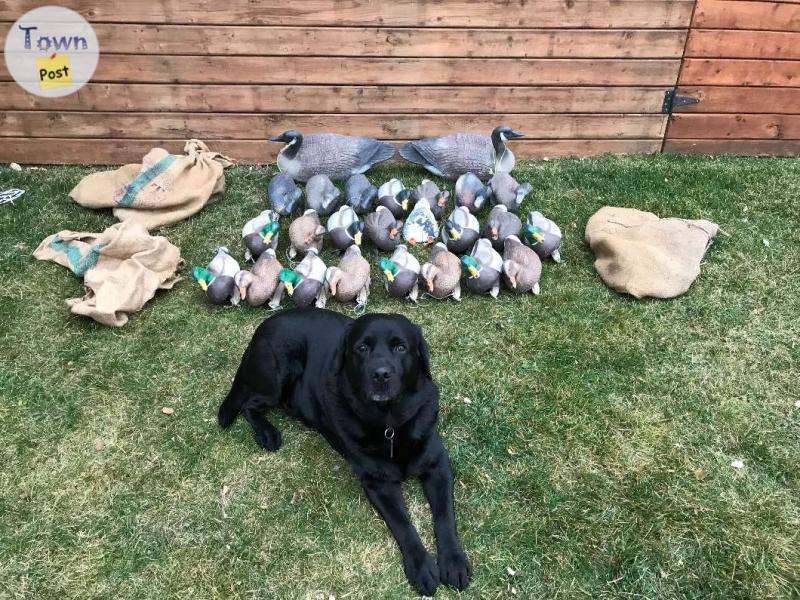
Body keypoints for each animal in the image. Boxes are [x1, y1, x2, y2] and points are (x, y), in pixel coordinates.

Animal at [216, 310, 472, 596]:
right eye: (362, 348)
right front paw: (421, 566)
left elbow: (445, 516)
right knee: (249, 404)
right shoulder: (378, 483)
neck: (390, 424)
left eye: (400, 347)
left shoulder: (438, 465)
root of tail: (265, 324)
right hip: (276, 375)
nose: (380, 374)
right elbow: (403, 524)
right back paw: (267, 433)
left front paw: (453, 561)